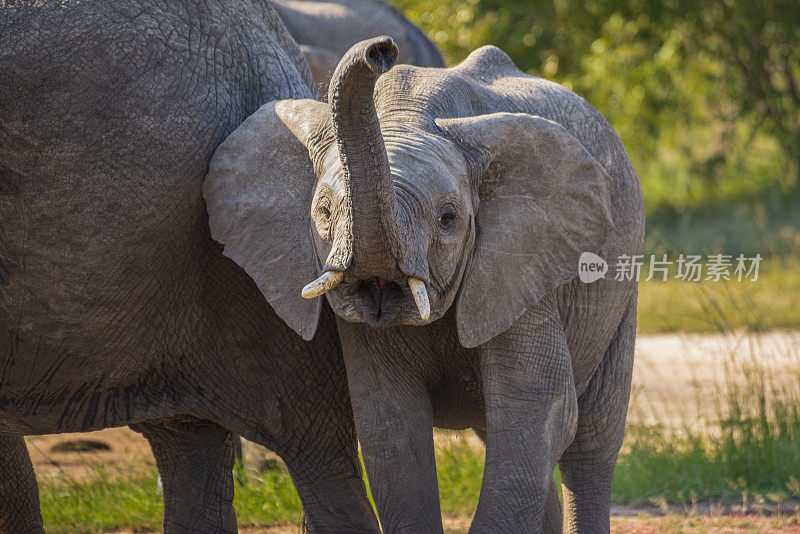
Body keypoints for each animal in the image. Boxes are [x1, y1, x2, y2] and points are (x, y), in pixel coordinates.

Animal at [203, 35, 648, 532]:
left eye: (448, 218)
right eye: (323, 212)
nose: (381, 48)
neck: (410, 115)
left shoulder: (523, 257)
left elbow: (539, 409)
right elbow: (391, 426)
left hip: (621, 282)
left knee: (591, 441)